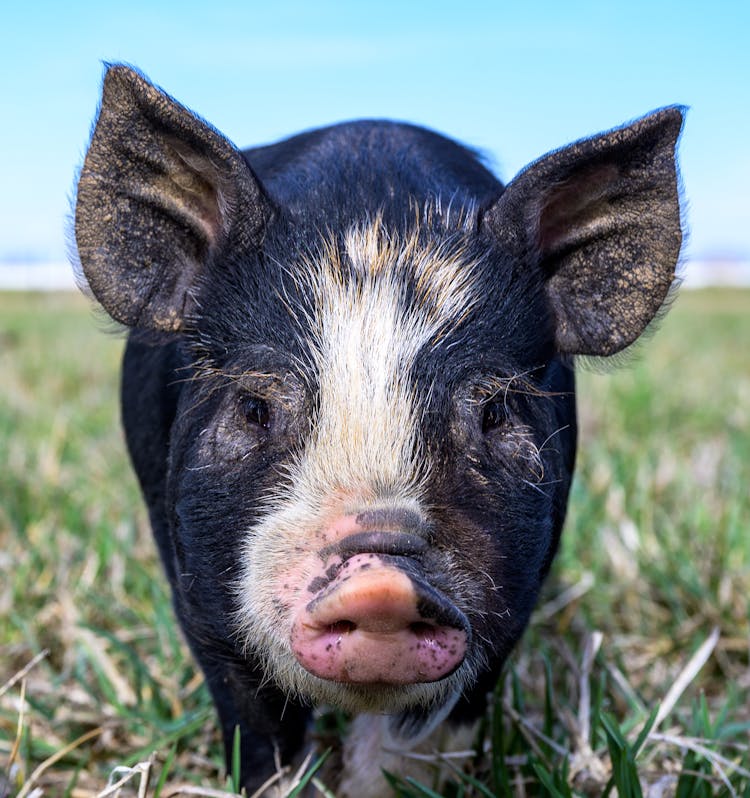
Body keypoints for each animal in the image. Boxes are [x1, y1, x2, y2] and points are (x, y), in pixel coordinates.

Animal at [73, 65, 684, 796]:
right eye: (253, 406)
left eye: (495, 411)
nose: (382, 586)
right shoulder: (197, 592)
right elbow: (260, 732)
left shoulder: (515, 600)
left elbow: (415, 742)